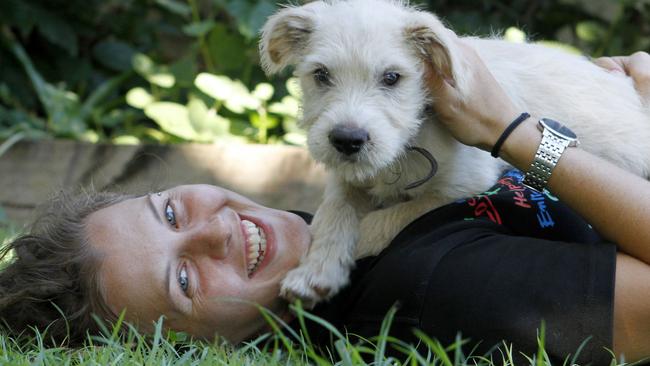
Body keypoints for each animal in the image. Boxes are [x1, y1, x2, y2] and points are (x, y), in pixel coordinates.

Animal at [258, 0, 648, 304]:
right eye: (321, 75)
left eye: (392, 78)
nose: (347, 140)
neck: (408, 144)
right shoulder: (347, 179)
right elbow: (332, 213)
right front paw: (315, 270)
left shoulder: (461, 188)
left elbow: (389, 219)